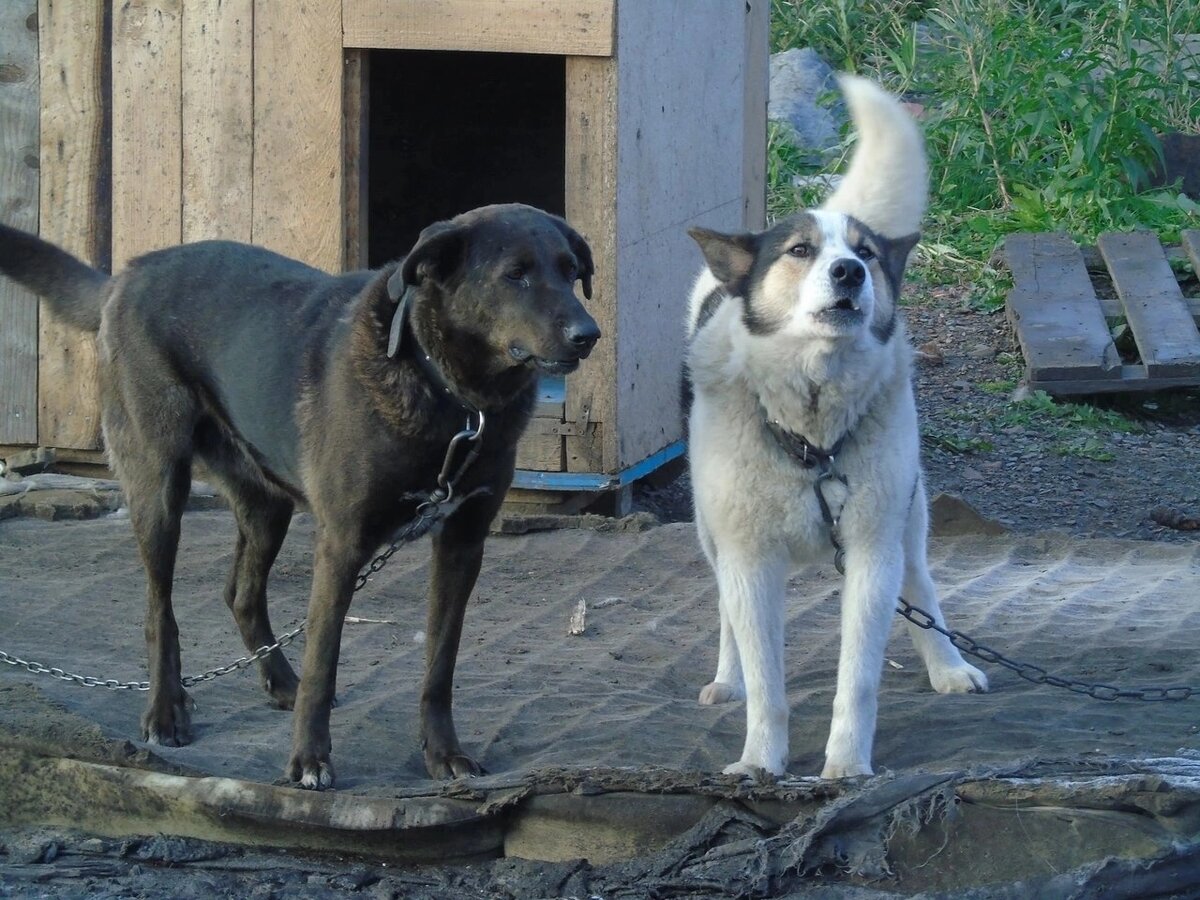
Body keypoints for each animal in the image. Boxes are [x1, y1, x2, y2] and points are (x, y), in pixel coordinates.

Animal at [0, 202, 600, 787]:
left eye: (571, 272)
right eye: (515, 274)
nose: (588, 333)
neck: (450, 396)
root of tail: (126, 275)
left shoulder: (462, 543)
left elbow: (440, 663)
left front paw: (443, 752)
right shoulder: (342, 545)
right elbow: (323, 659)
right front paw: (309, 759)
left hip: (268, 505)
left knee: (240, 595)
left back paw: (277, 680)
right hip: (159, 485)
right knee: (158, 609)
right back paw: (167, 709)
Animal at [686, 75, 984, 782]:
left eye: (866, 253)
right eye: (799, 251)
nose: (850, 270)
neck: (811, 436)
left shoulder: (873, 552)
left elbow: (859, 680)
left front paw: (847, 766)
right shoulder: (748, 560)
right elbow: (766, 683)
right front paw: (760, 762)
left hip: (908, 516)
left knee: (922, 587)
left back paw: (948, 666)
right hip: (711, 531)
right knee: (726, 617)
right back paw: (726, 678)